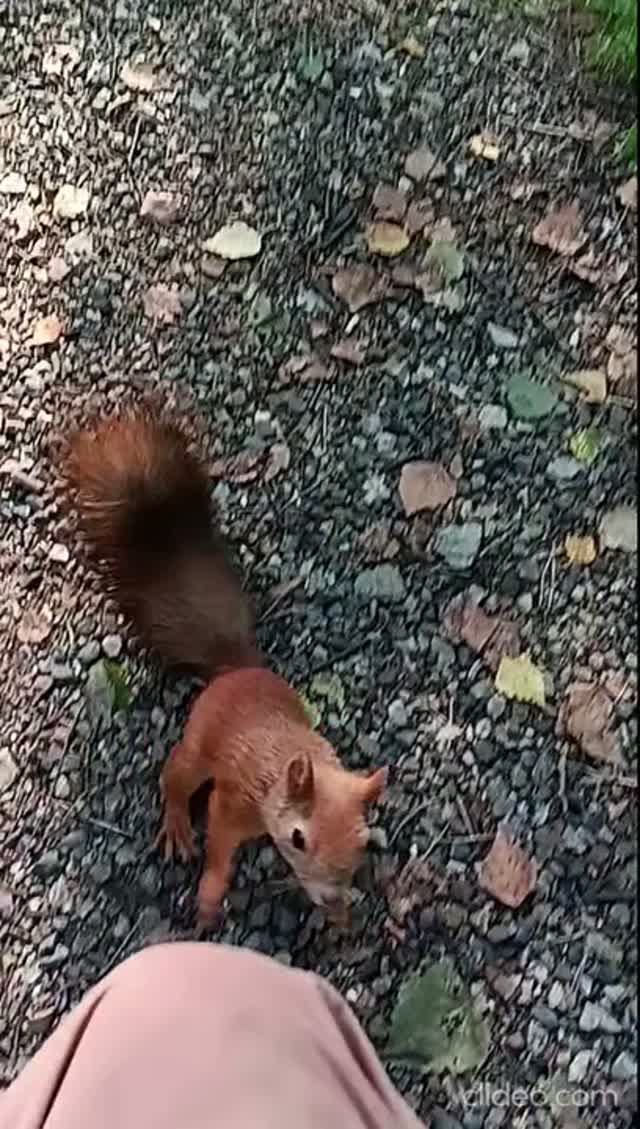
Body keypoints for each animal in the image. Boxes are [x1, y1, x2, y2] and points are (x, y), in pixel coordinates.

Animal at [61, 405, 387, 929]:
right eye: (298, 838)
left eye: (363, 841)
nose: (331, 896)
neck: (282, 770)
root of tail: (236, 669)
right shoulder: (232, 801)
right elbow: (218, 845)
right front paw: (211, 895)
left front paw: (340, 913)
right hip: (197, 749)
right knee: (174, 775)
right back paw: (176, 822)